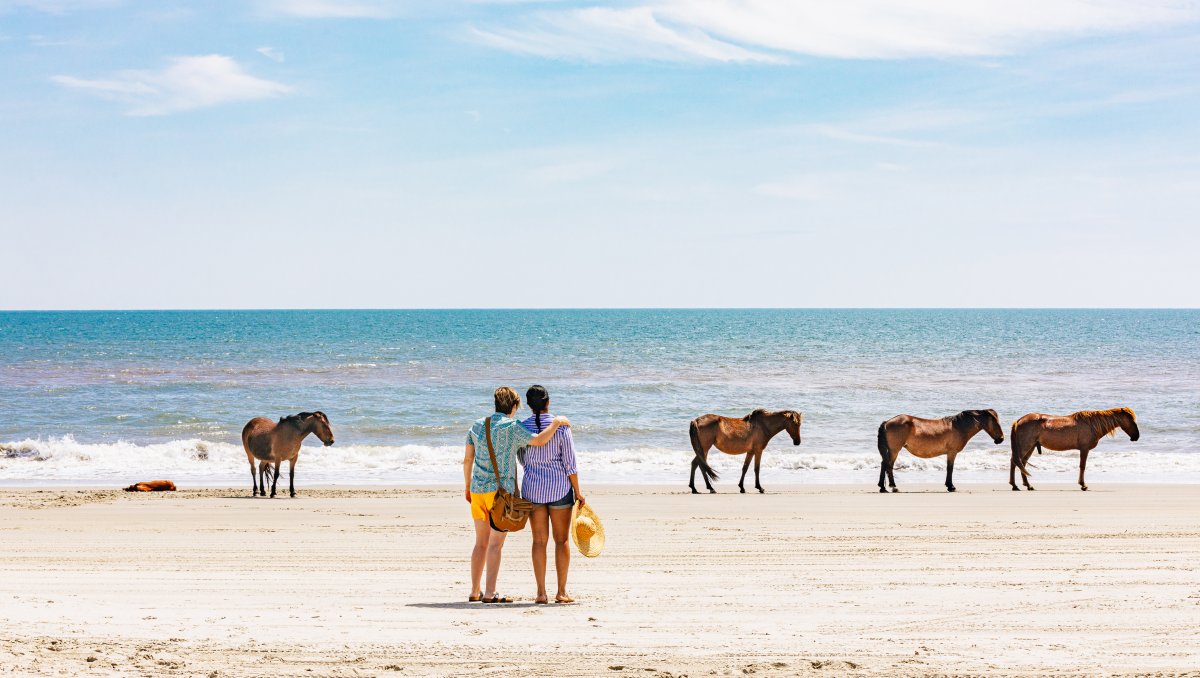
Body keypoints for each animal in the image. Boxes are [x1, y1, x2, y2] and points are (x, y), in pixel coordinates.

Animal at [878, 408, 1008, 492]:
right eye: (995, 421)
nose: (1001, 439)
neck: (959, 427)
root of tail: (887, 422)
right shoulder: (952, 452)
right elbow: (950, 468)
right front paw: (951, 486)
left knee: (885, 464)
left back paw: (883, 487)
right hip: (895, 450)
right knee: (887, 465)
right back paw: (893, 487)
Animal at [1008, 405, 1137, 489]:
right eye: (1130, 419)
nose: (1136, 436)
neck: (1091, 424)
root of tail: (1019, 421)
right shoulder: (1084, 449)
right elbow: (1082, 466)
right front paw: (1083, 485)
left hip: (1031, 447)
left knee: (1022, 463)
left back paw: (1027, 485)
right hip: (1026, 446)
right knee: (1015, 461)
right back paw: (1014, 485)